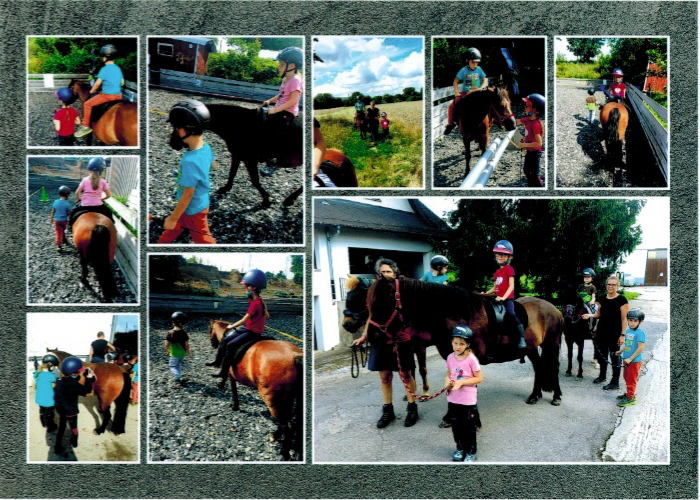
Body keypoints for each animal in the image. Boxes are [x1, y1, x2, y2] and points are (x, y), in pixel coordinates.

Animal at [209, 320, 304, 460]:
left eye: (209, 329)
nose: (213, 344)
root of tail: (294, 356)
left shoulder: (231, 373)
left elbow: (232, 388)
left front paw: (233, 404)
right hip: (287, 399)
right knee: (289, 422)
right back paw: (276, 436)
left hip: (273, 400)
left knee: (288, 426)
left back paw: (284, 451)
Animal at [366, 278, 564, 406]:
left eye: (383, 304)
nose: (371, 337)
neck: (456, 314)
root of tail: (555, 309)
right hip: (531, 348)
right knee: (539, 367)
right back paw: (535, 395)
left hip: (552, 344)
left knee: (553, 366)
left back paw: (556, 396)